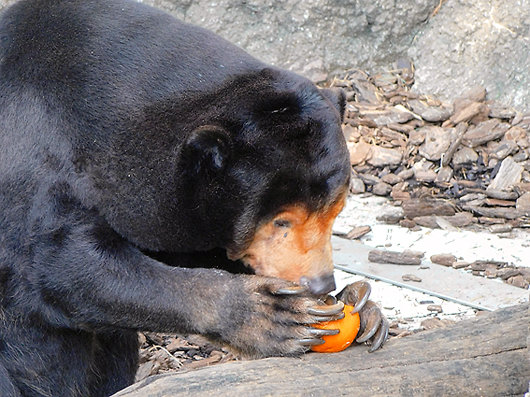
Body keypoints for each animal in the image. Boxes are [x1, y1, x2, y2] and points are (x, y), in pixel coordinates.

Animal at [0, 0, 384, 396]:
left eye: (335, 213)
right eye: (281, 220)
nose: (321, 283)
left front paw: (361, 304)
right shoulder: (33, 149)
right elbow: (56, 258)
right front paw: (270, 315)